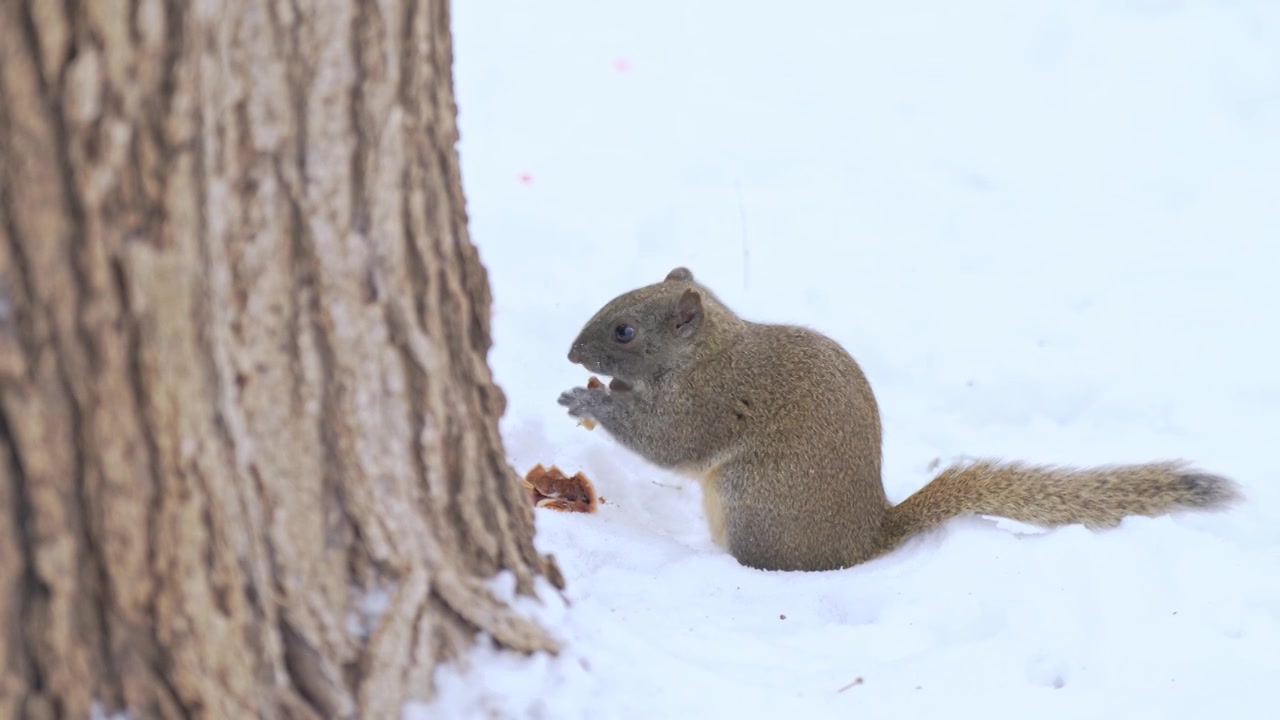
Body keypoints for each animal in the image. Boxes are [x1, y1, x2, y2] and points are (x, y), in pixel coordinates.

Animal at [555, 266, 1244, 568]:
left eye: (624, 330)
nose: (571, 354)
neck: (707, 352)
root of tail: (867, 538)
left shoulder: (711, 403)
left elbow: (665, 441)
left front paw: (590, 400)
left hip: (754, 505)